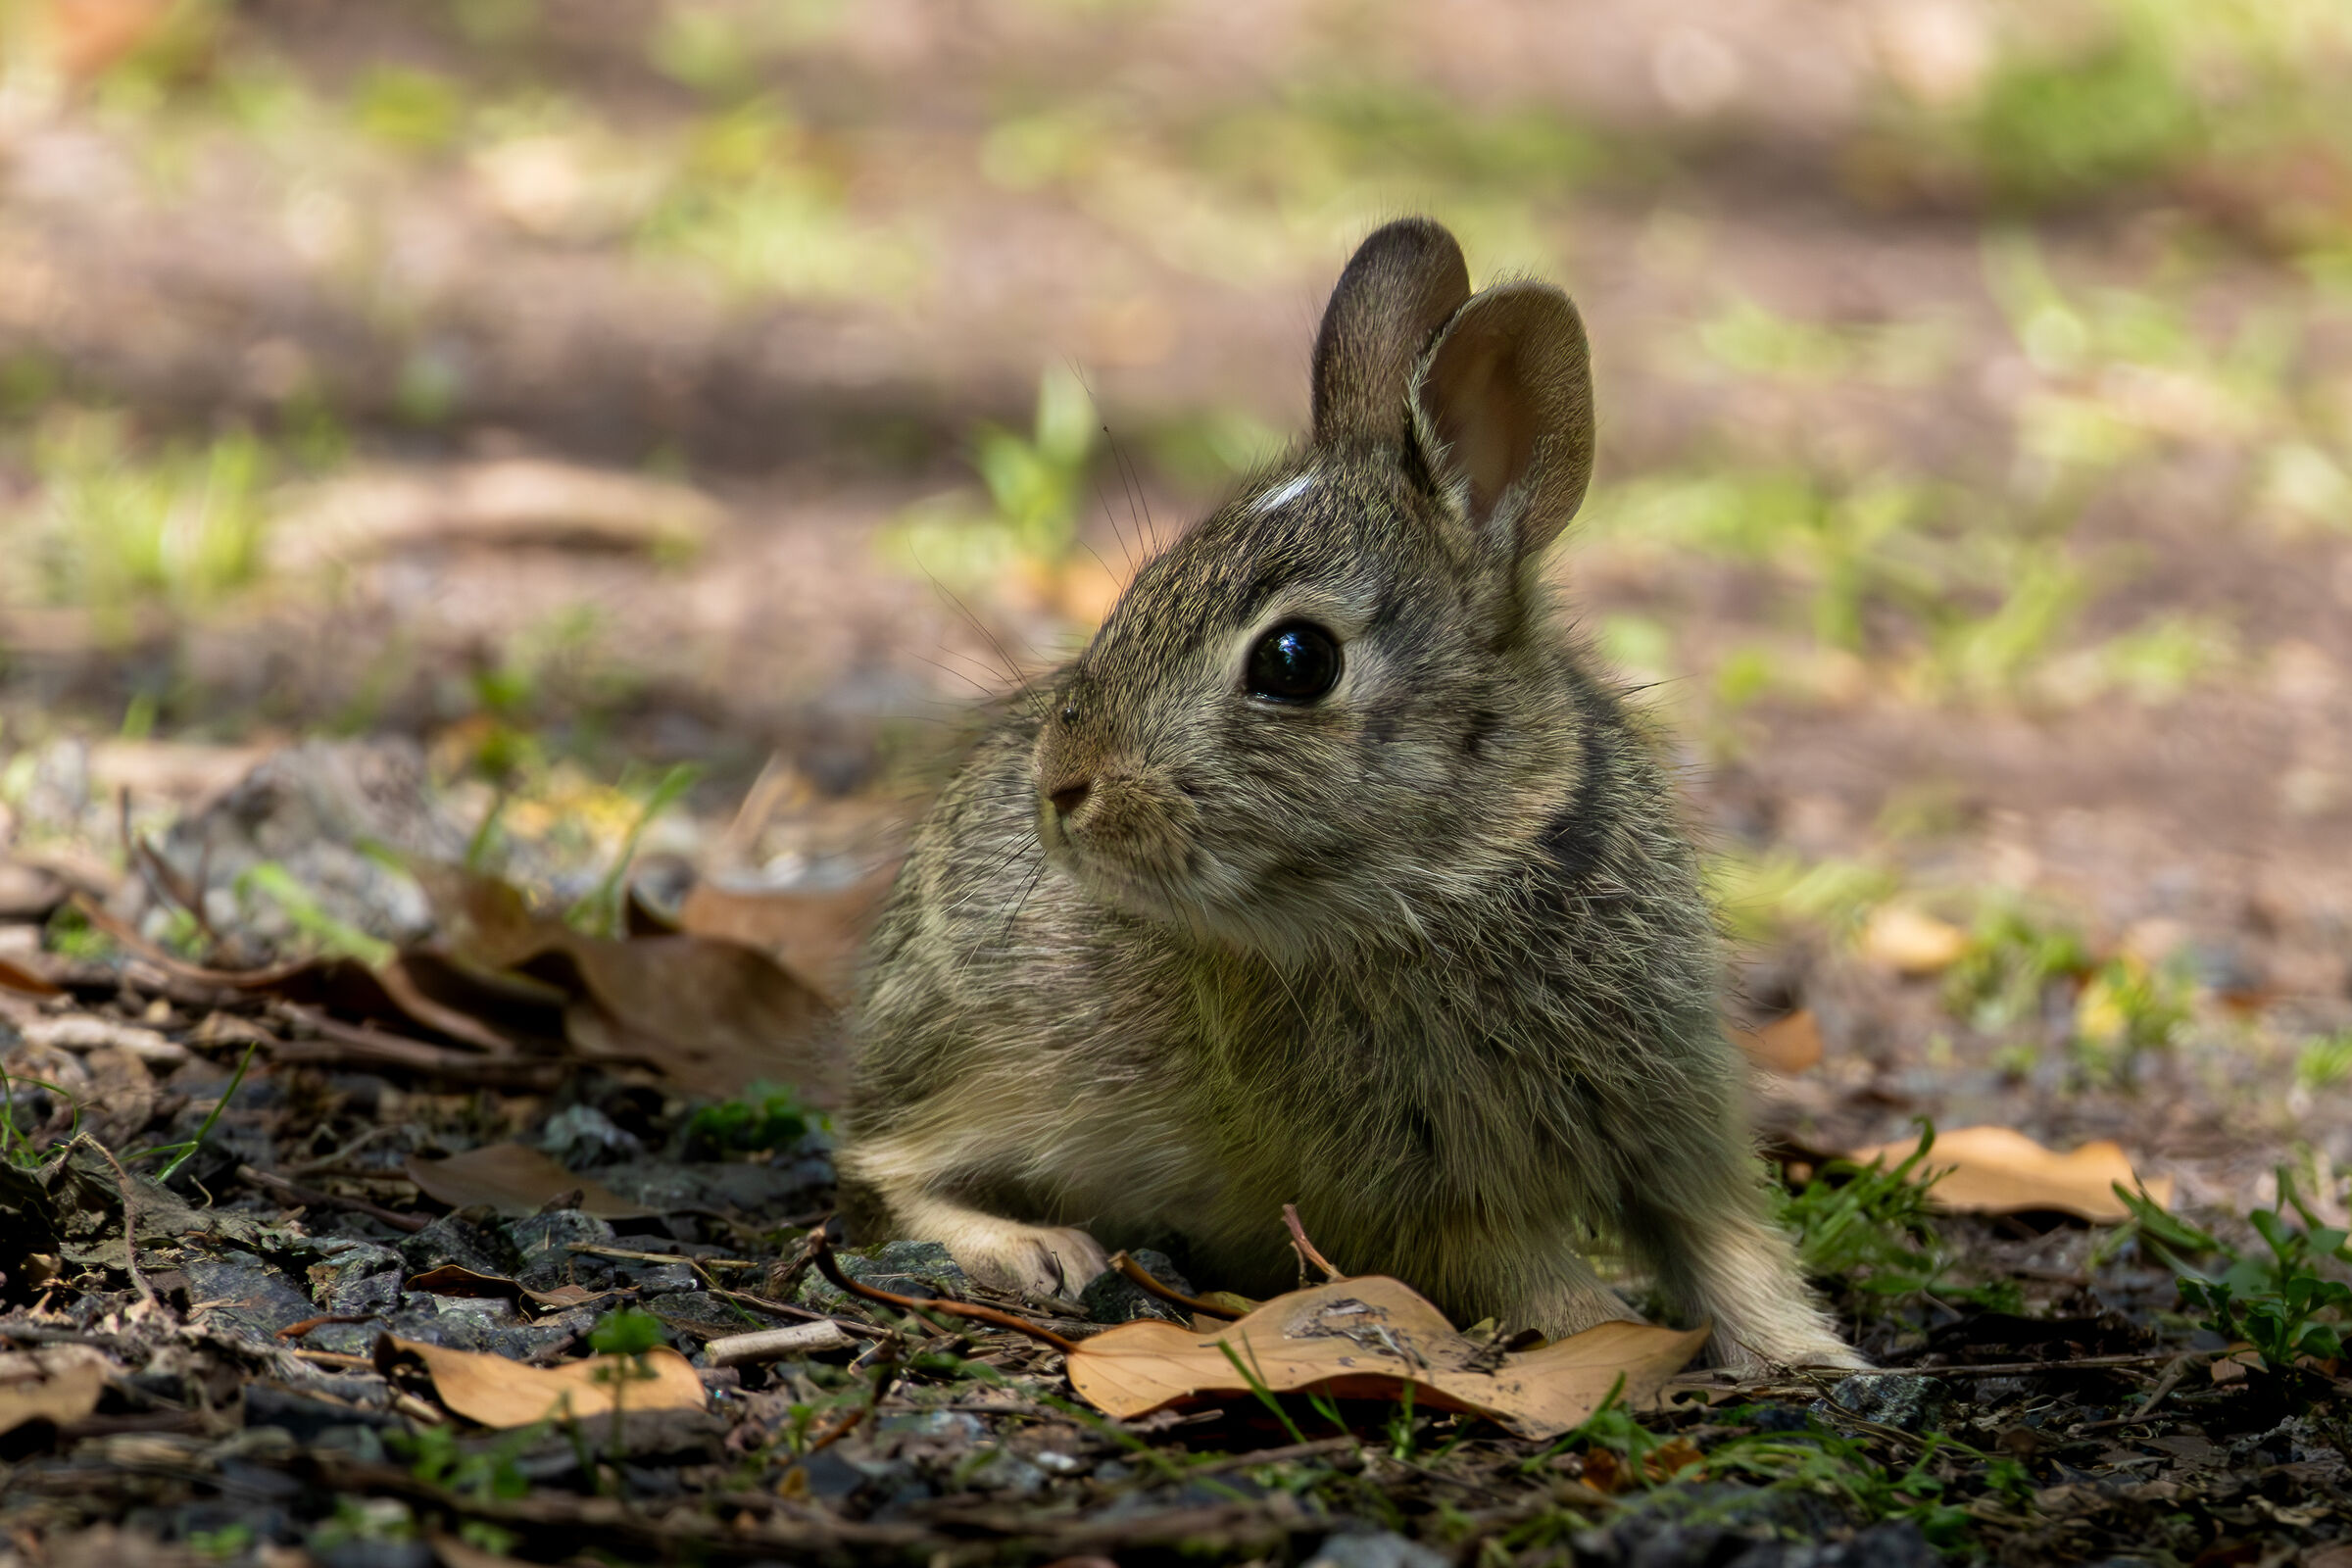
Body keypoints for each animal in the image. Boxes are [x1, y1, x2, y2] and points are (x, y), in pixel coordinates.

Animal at [837, 217, 1864, 1374]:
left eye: (1296, 660)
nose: (1060, 787)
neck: (1458, 877)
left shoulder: (1673, 1108)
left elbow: (1728, 1244)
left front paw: (1814, 1361)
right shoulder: (1405, 1190)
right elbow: (1530, 1277)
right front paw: (1615, 1342)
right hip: (980, 1055)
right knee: (881, 1165)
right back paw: (1034, 1250)